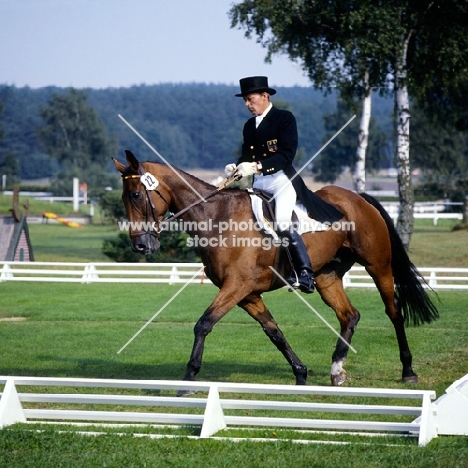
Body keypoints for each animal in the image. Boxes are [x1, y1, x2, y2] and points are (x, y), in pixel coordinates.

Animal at [113, 152, 438, 390]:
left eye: (136, 196)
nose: (140, 245)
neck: (217, 218)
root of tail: (358, 197)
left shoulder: (237, 286)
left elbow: (203, 324)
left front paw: (188, 380)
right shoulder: (247, 294)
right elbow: (274, 332)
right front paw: (301, 373)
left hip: (377, 265)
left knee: (393, 310)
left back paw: (408, 370)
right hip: (326, 275)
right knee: (349, 315)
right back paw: (337, 369)